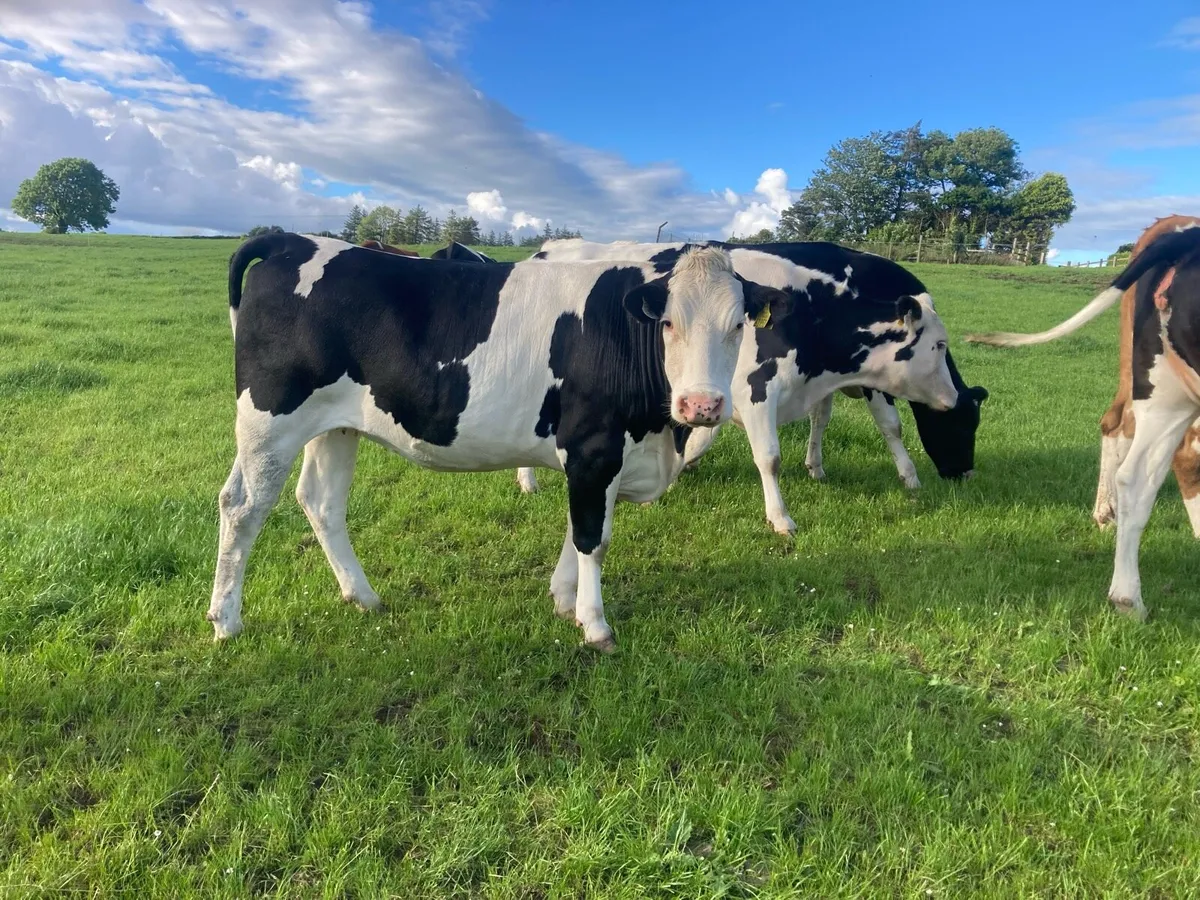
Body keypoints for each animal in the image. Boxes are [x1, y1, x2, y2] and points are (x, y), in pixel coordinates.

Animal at [209, 232, 796, 652]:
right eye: (669, 323)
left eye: (738, 325)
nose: (702, 405)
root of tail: (290, 240)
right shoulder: (593, 448)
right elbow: (593, 538)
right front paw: (594, 624)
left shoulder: (600, 459)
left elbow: (581, 530)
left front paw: (563, 599)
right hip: (269, 419)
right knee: (242, 506)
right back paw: (226, 620)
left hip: (334, 426)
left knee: (321, 502)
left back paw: (364, 596)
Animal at [525, 240, 977, 534]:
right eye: (939, 345)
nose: (966, 473)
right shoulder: (757, 389)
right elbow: (773, 456)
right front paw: (781, 517)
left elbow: (821, 419)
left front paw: (815, 466)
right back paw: (528, 481)